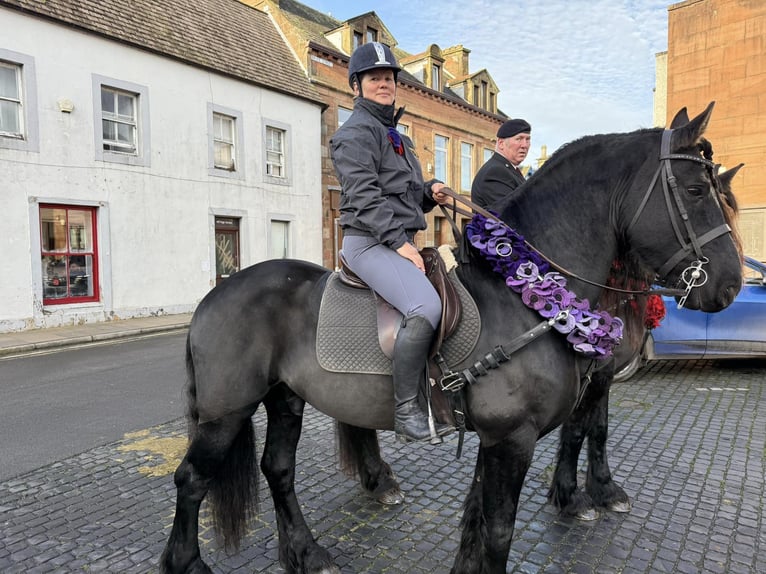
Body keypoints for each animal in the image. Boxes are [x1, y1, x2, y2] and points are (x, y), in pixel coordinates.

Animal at [160, 104, 744, 574]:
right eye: (697, 191)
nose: (731, 283)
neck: (521, 294)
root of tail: (217, 291)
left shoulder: (501, 437)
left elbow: (479, 519)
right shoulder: (513, 438)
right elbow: (500, 529)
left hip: (285, 399)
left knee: (278, 470)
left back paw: (307, 553)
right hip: (227, 411)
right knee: (191, 480)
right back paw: (187, 562)